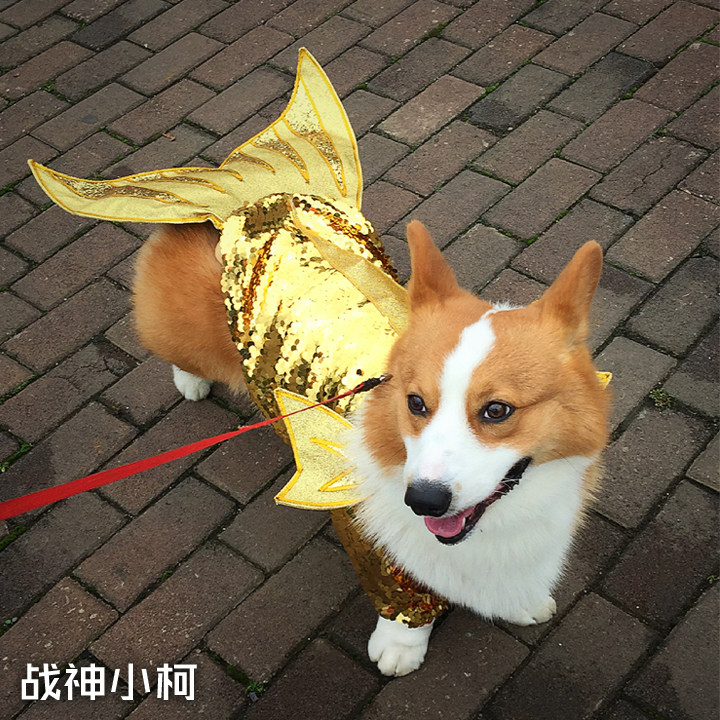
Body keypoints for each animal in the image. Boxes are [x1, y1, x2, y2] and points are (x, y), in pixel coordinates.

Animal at [132, 218, 609, 677]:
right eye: (415, 403)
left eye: (497, 410)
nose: (423, 501)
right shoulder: (368, 533)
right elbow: (399, 593)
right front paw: (401, 645)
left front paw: (522, 602)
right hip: (187, 337)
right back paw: (190, 381)